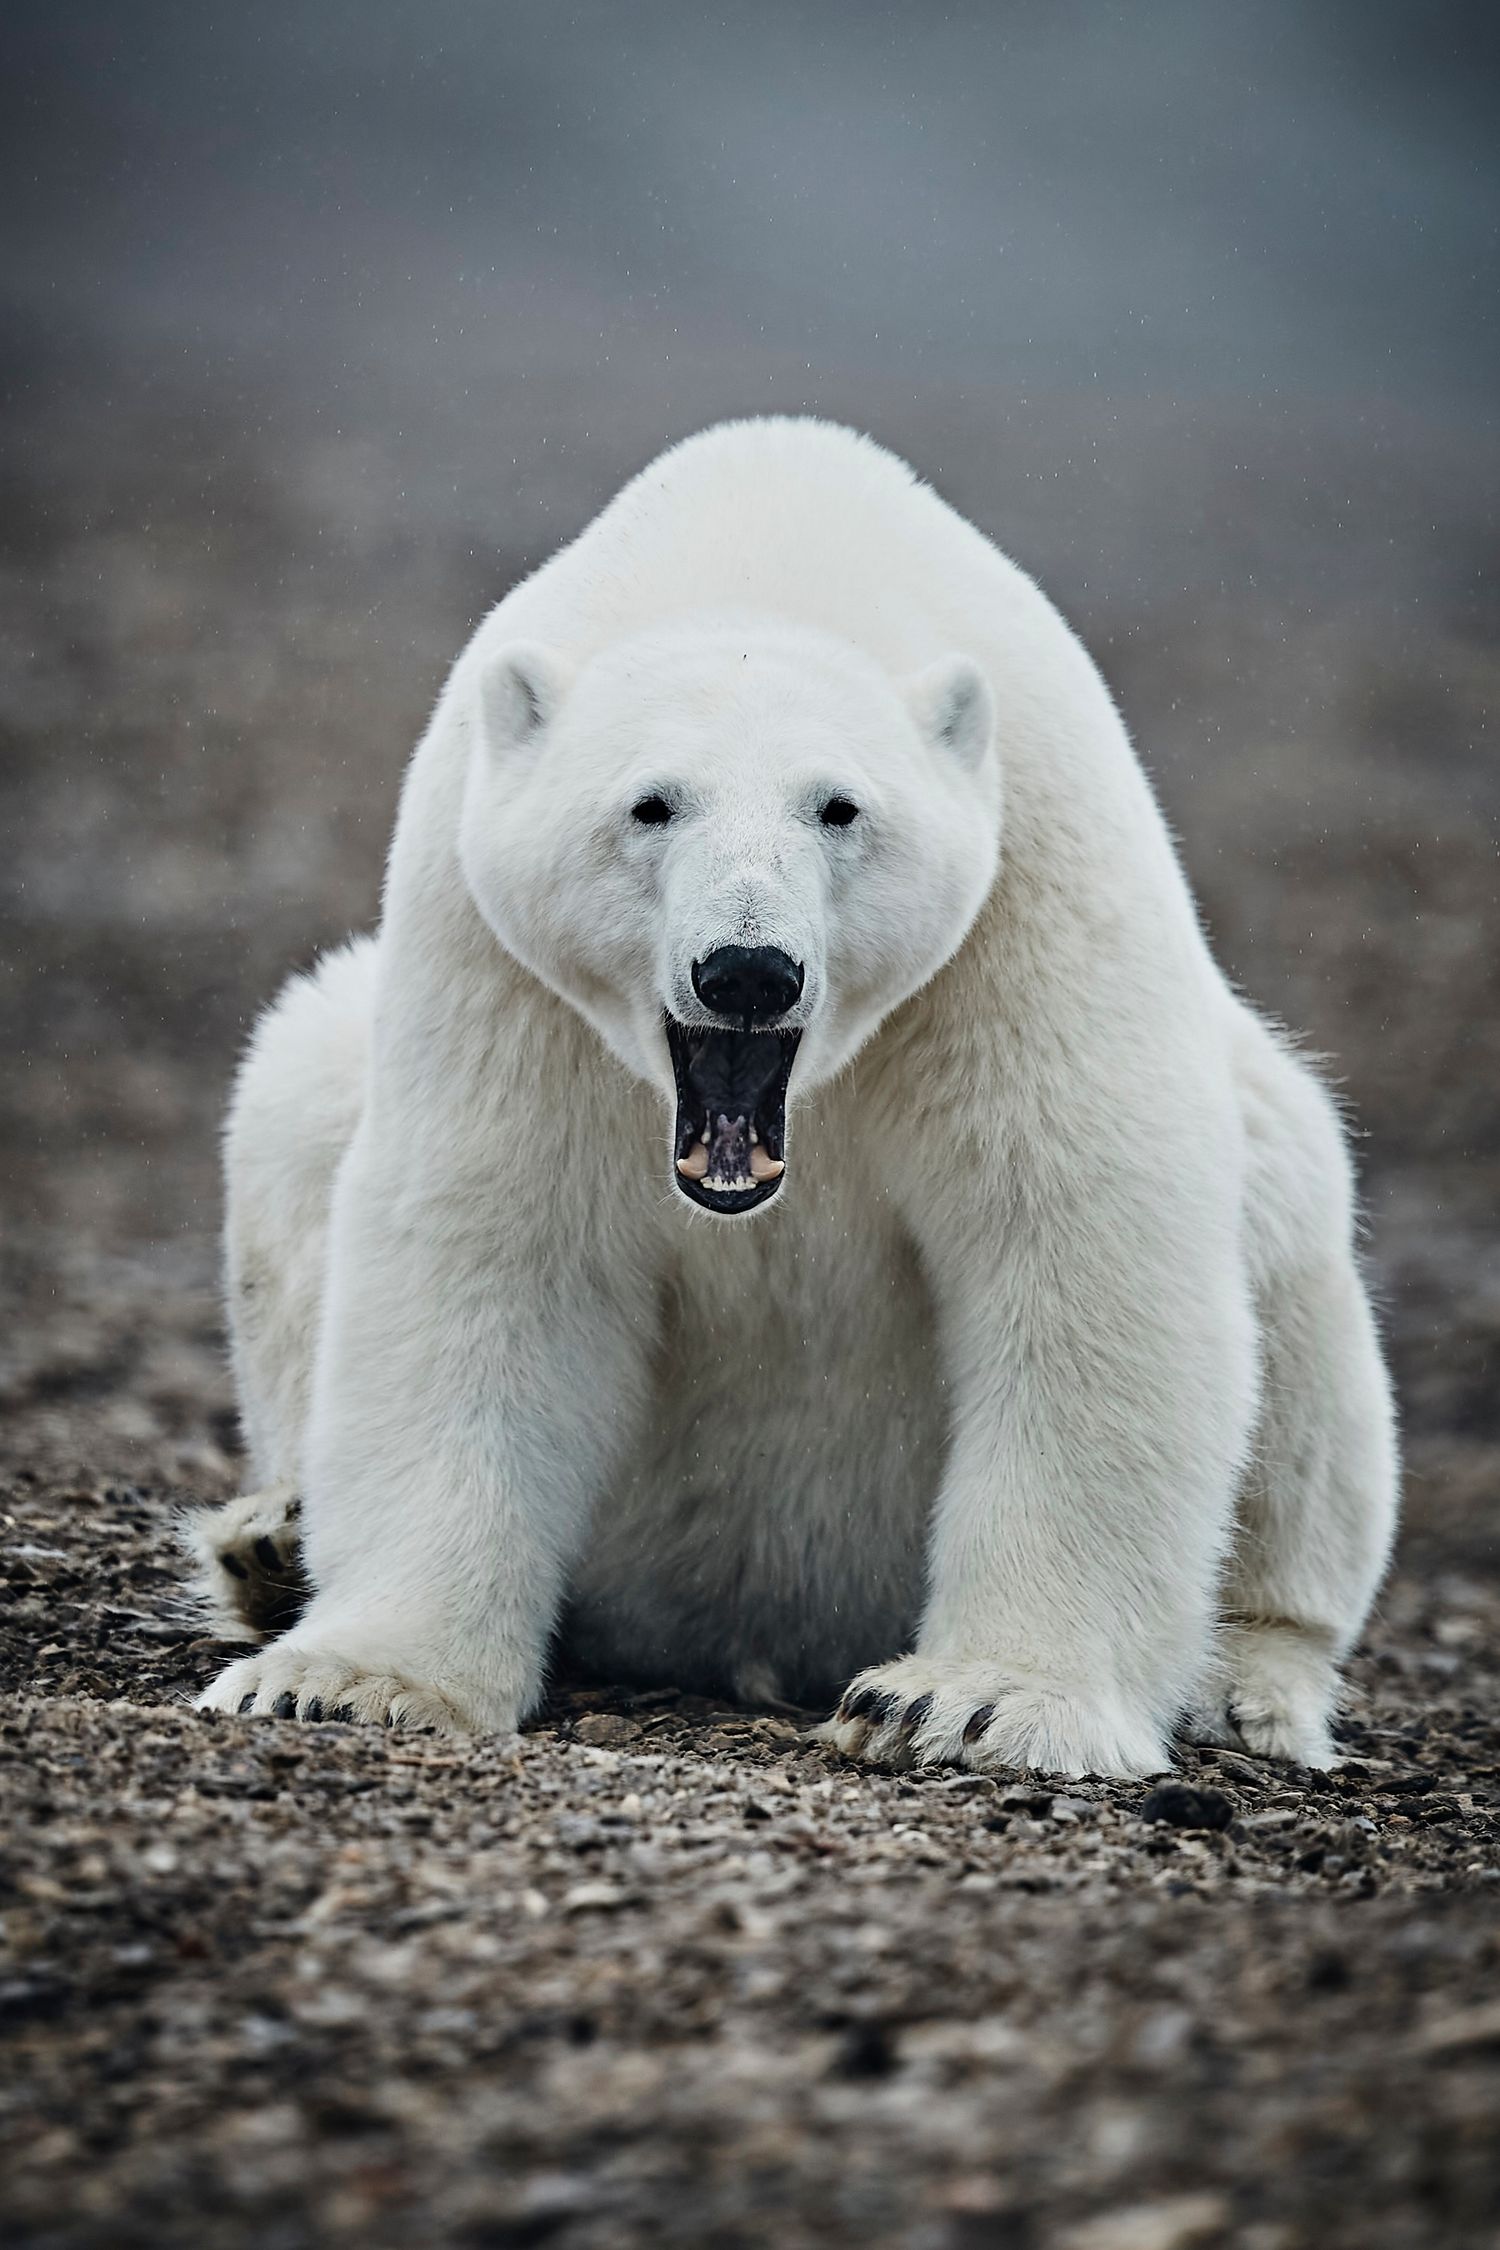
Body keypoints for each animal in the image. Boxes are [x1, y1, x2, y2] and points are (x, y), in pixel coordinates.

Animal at [193, 416, 1398, 1778]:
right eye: (651, 803)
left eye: (840, 807)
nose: (749, 969)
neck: (771, 557)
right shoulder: (498, 968)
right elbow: (488, 1251)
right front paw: (345, 1679)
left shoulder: (1023, 909)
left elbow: (1078, 1244)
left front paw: (974, 1701)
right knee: (296, 1092)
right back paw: (271, 1546)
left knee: (1293, 1228)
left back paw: (1243, 1680)